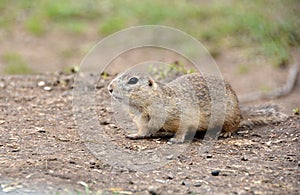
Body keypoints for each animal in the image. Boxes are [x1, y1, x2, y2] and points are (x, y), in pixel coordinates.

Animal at [108, 71, 288, 143]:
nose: (109, 87)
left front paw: (176, 140)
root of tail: (241, 111)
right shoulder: (142, 120)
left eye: (133, 80)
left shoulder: (183, 114)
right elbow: (143, 130)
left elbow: (183, 128)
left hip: (230, 114)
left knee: (235, 124)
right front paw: (133, 135)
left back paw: (225, 132)